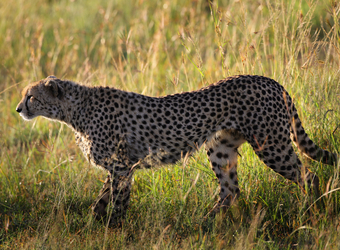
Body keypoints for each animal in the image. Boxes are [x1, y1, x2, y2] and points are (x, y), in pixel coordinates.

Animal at [16, 74, 338, 225]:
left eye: (31, 97)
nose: (18, 108)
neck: (74, 111)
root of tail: (268, 79)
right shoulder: (117, 168)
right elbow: (101, 200)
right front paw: (94, 225)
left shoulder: (122, 167)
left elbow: (118, 203)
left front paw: (114, 230)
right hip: (220, 149)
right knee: (230, 191)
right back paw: (205, 223)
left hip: (271, 145)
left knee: (309, 177)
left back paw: (312, 211)